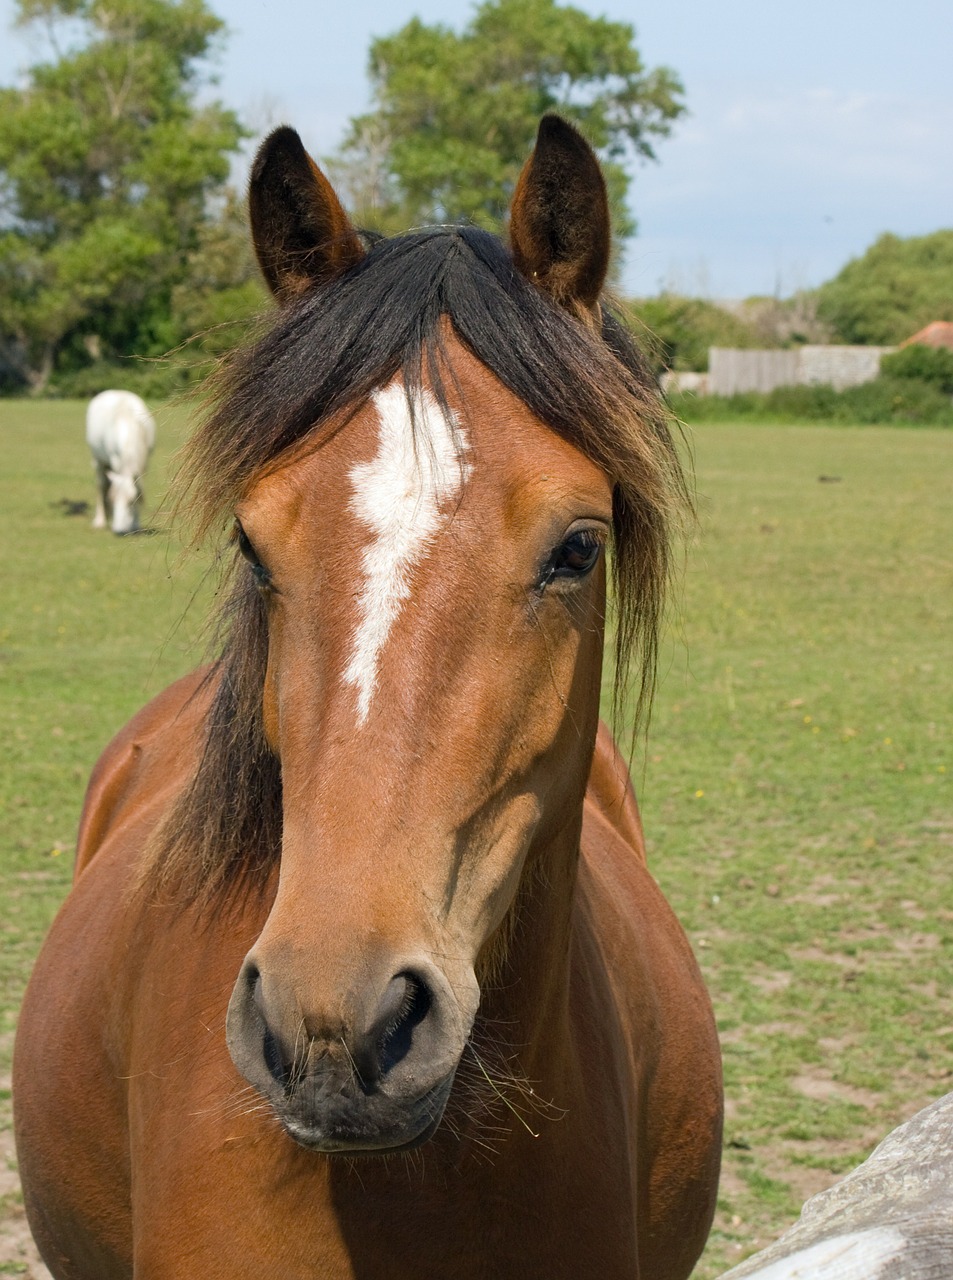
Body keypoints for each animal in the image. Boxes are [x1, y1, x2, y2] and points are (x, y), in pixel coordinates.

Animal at [86, 389, 156, 534]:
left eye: (131, 501)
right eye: (113, 499)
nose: (119, 530)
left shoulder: (144, 463)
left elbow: (139, 487)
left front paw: (136, 524)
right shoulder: (115, 462)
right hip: (98, 461)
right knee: (101, 485)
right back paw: (100, 520)